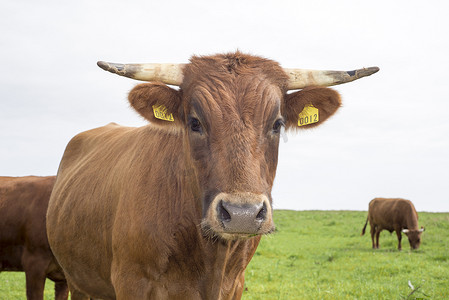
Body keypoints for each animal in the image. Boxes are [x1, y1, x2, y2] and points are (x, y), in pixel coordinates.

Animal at [46, 50, 378, 298]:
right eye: (195, 122)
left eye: (277, 123)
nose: (242, 214)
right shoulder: (132, 282)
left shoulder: (235, 285)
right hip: (78, 282)